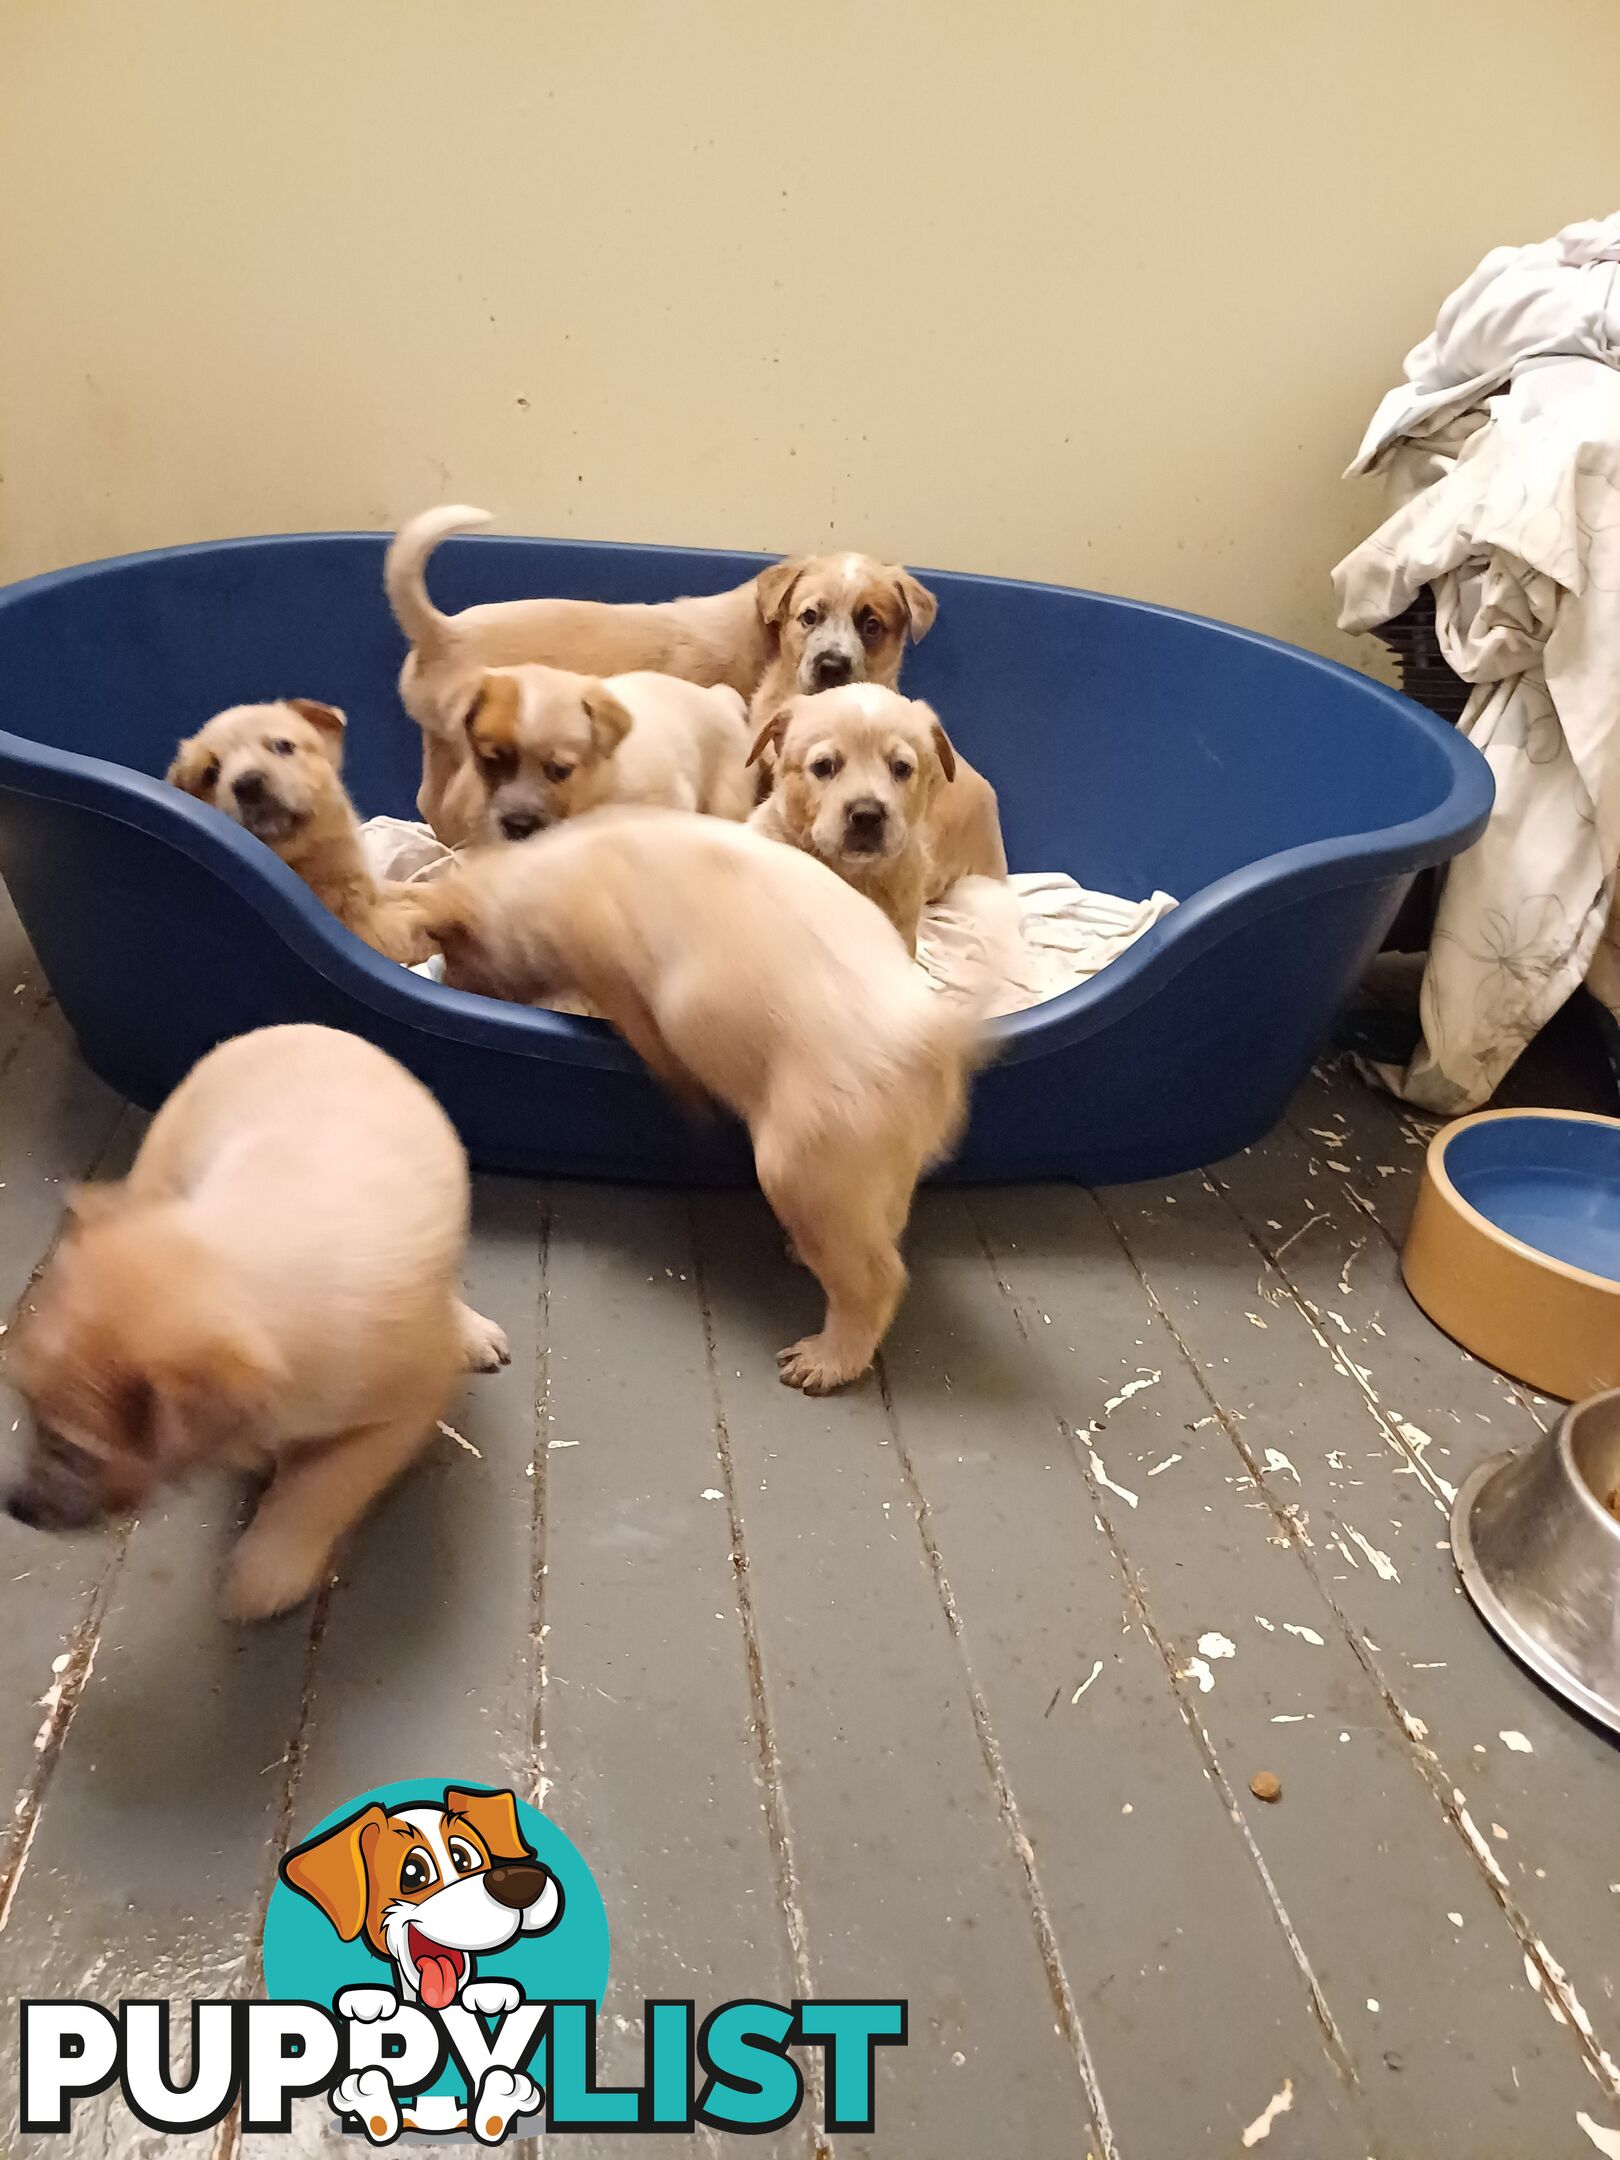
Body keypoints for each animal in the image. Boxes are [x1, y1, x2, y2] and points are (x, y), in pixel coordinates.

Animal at [1, 1028, 507, 1624]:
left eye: (76, 1449)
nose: (16, 1508)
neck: (233, 1264)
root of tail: (291, 1029)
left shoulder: (401, 1414)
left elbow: (318, 1489)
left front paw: (263, 1575)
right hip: (161, 1170)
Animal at [168, 699, 432, 963]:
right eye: (210, 773)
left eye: (283, 746)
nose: (248, 784)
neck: (300, 851)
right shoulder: (365, 926)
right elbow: (410, 928)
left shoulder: (376, 889)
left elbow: (415, 892)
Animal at [412, 812, 989, 1399]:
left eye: (456, 948)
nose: (447, 979)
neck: (534, 883)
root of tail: (936, 1043)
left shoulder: (605, 956)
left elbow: (644, 1032)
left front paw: (693, 1105)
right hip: (873, 1168)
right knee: (886, 1227)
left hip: (801, 1164)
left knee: (879, 1278)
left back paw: (812, 1364)